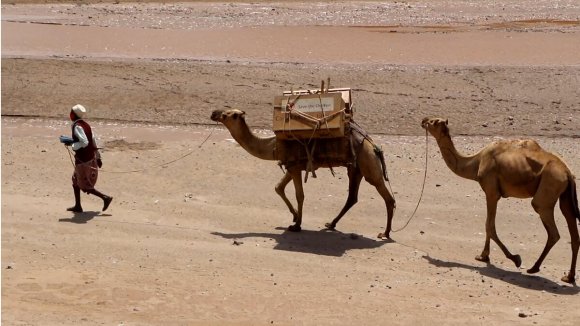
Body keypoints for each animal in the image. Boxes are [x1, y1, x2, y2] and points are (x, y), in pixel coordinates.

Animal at [211, 109, 396, 239]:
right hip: (355, 169)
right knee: (352, 197)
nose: (214, 113)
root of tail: (374, 146)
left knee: (387, 197)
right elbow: (278, 187)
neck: (273, 146)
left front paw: (296, 225)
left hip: (369, 164)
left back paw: (385, 233)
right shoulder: (293, 166)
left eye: (227, 115)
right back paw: (331, 224)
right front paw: (294, 217)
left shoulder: (294, 167)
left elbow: (299, 195)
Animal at [422, 117, 580, 282]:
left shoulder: (491, 192)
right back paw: (568, 277)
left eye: (433, 122)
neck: (476, 162)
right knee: (573, 230)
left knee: (552, 230)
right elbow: (488, 225)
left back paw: (534, 268)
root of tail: (568, 173)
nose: (423, 120)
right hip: (565, 196)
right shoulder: (492, 193)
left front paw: (515, 258)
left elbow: (489, 226)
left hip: (547, 190)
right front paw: (483, 256)